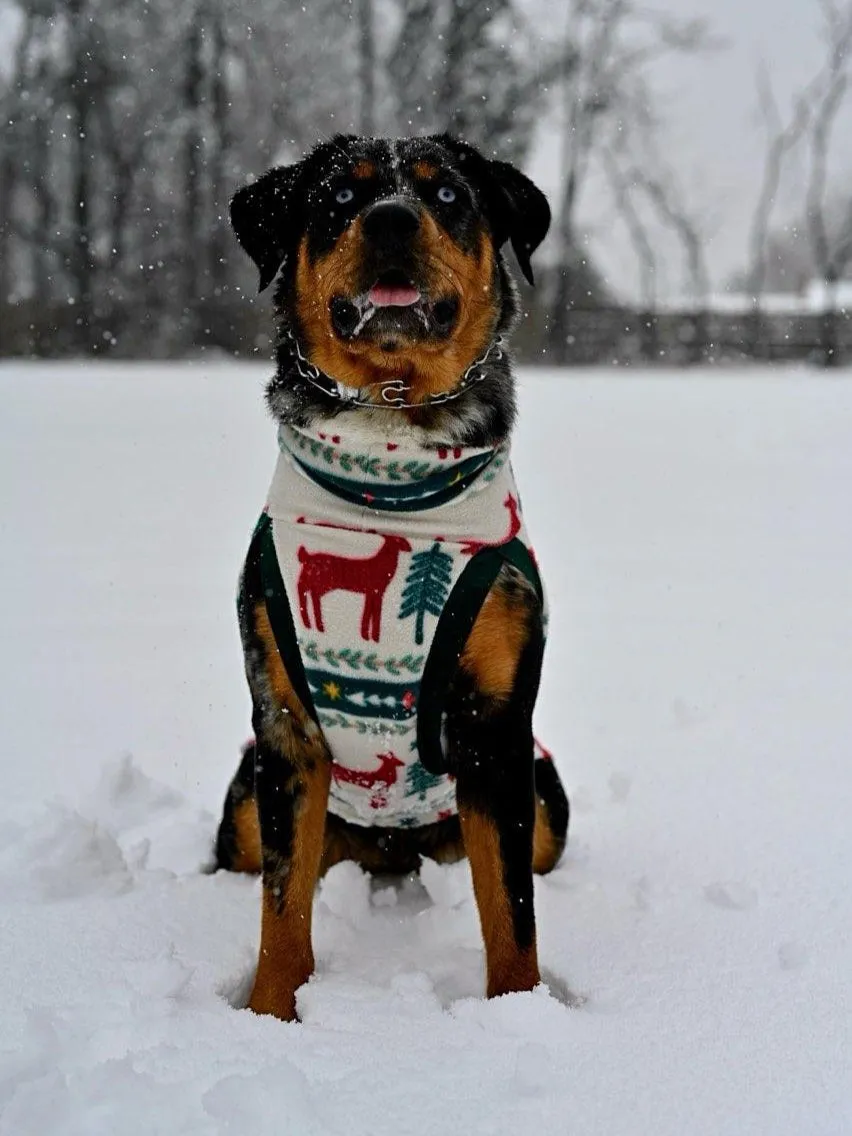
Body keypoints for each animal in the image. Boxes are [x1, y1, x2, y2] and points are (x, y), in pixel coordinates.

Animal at [216, 132, 570, 1022]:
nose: (390, 219)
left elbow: (512, 915)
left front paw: (520, 1015)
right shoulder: (284, 724)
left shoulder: (498, 732)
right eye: (342, 197)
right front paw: (269, 1016)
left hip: (546, 794)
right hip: (244, 798)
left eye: (446, 196)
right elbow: (281, 911)